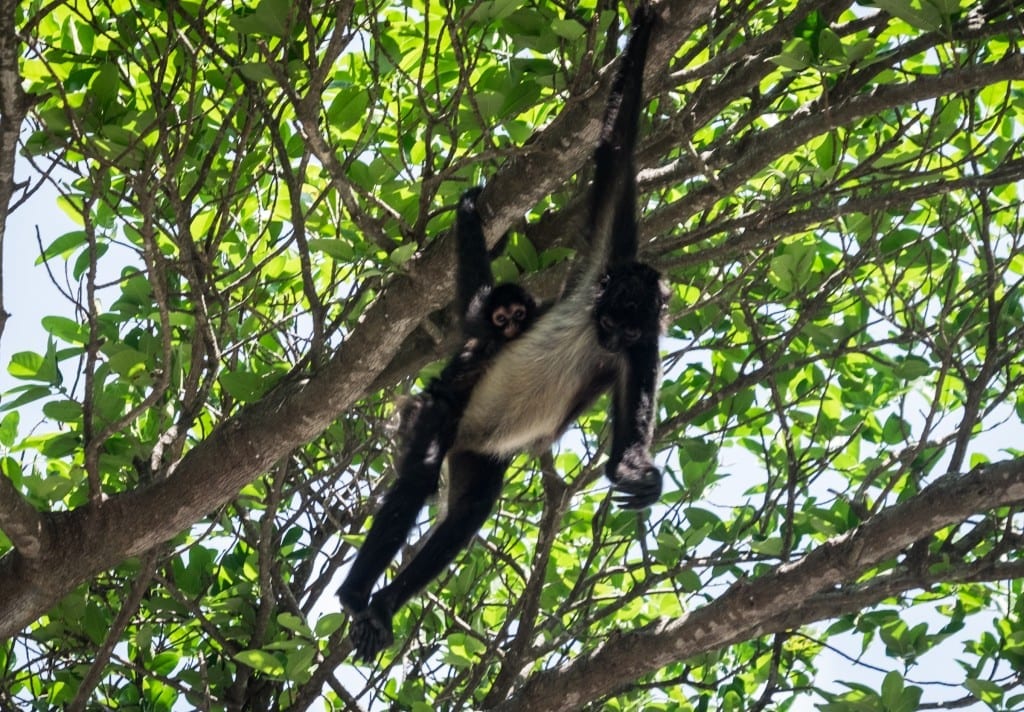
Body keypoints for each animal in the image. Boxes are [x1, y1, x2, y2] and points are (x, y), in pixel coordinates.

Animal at [339, 5, 667, 663]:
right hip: (439, 416)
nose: (609, 336)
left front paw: (636, 475)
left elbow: (625, 448)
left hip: (478, 456)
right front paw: (643, 33)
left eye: (625, 329)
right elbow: (616, 152)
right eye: (606, 319)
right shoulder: (603, 267)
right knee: (422, 468)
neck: (599, 328)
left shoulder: (644, 349)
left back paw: (384, 604)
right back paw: (356, 593)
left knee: (469, 511)